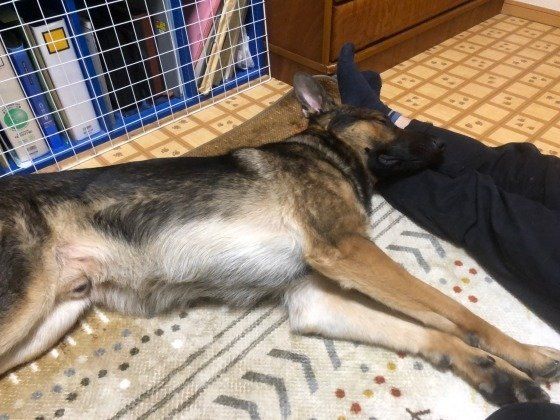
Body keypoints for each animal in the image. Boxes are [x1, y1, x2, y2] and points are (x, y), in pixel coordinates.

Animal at [0, 73, 558, 405]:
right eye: (382, 120)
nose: (442, 145)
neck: (326, 152)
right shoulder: (348, 252)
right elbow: (454, 311)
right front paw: (519, 352)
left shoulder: (314, 300)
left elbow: (425, 330)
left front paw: (497, 372)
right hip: (24, 312)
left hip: (47, 323)